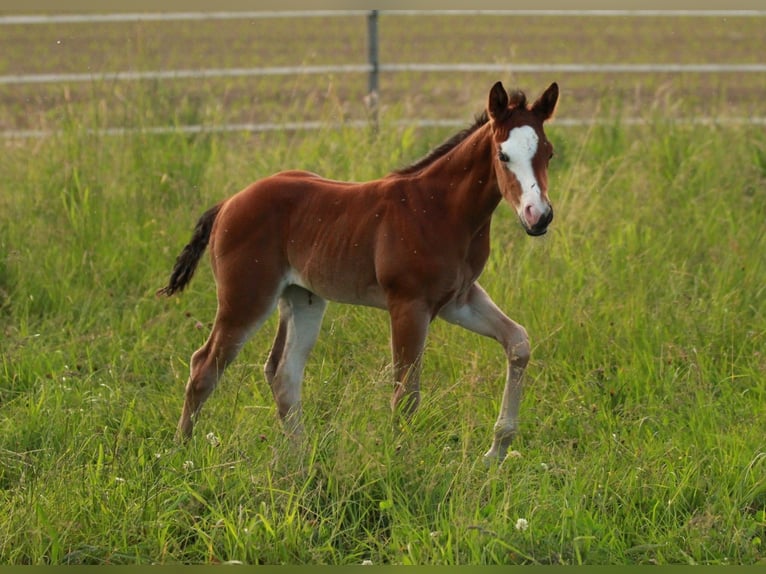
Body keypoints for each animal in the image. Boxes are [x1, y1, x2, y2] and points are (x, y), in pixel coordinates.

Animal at [159, 81, 560, 464]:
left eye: (549, 153)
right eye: (503, 155)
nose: (538, 216)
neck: (441, 210)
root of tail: (229, 202)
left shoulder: (458, 299)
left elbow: (518, 342)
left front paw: (497, 451)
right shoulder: (409, 305)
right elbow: (406, 393)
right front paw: (401, 462)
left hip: (302, 298)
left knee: (283, 372)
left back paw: (299, 458)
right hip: (246, 298)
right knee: (204, 366)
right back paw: (182, 452)